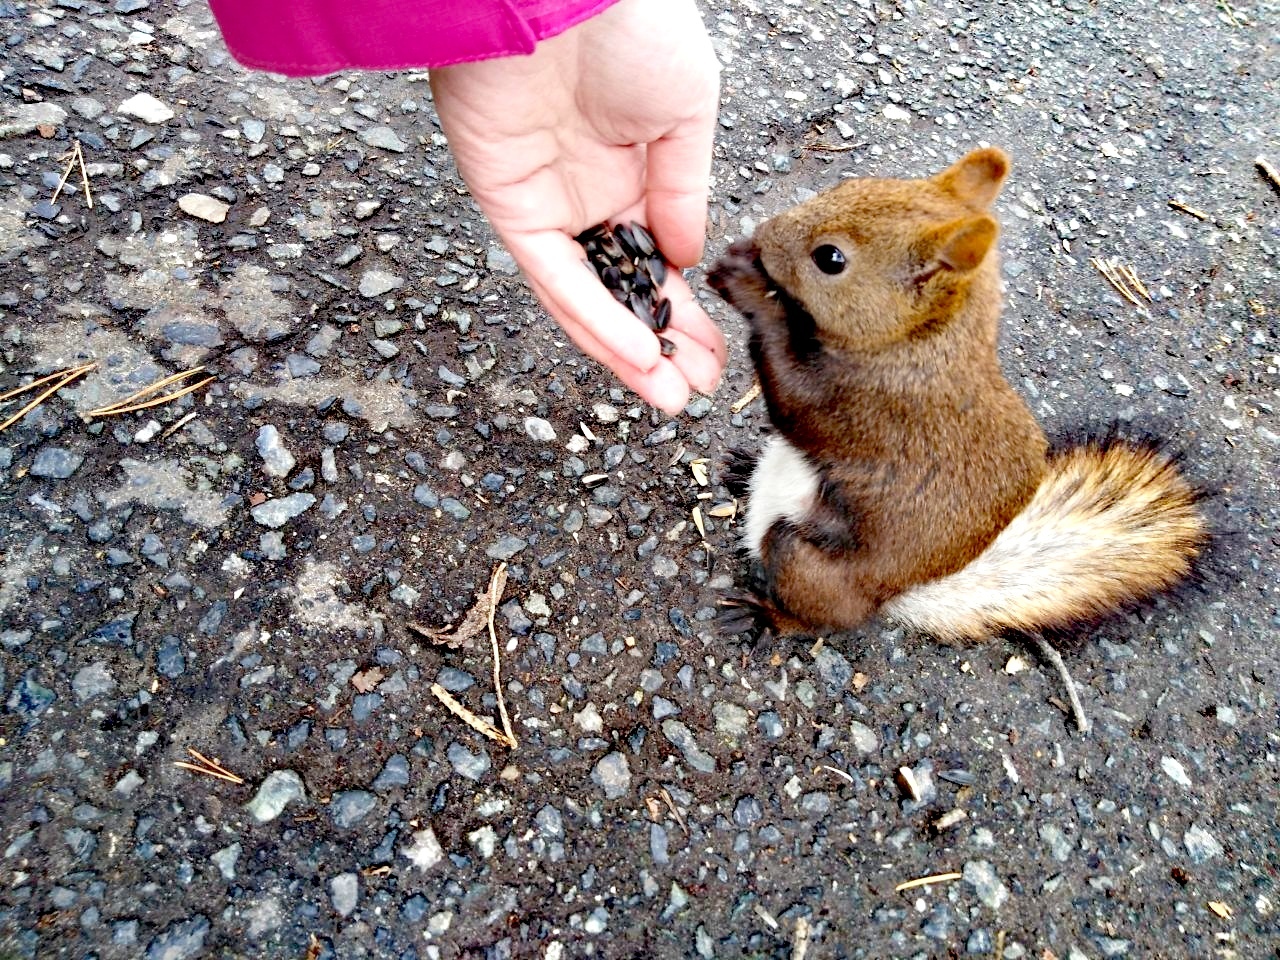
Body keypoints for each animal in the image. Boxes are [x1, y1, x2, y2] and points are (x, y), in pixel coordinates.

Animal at [706, 148, 1203, 647]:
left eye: (830, 258)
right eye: (843, 187)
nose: (761, 236)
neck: (923, 341)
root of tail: (890, 598)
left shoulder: (870, 408)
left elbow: (792, 399)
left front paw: (746, 287)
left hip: (803, 562)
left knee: (817, 617)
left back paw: (765, 616)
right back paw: (744, 469)